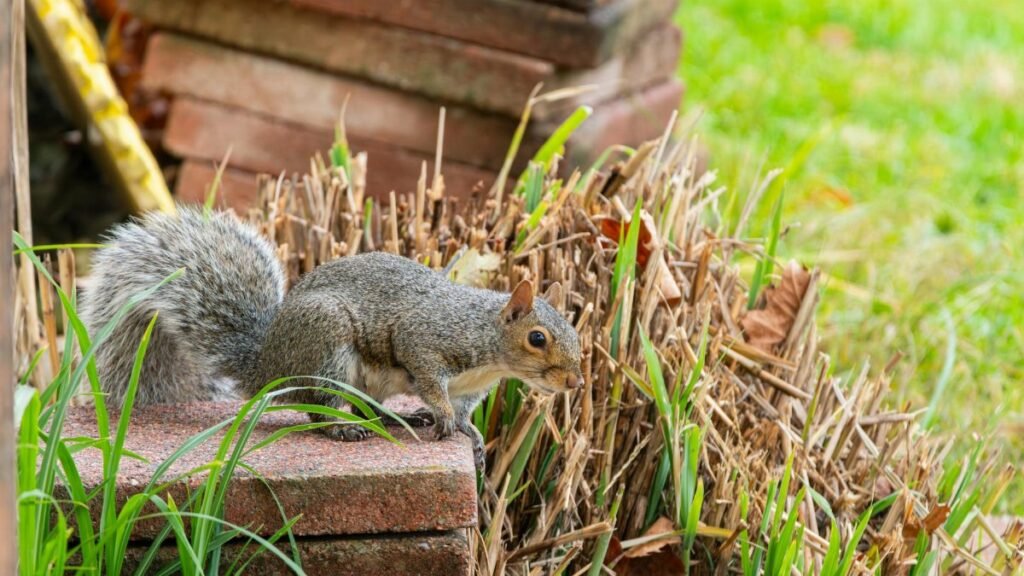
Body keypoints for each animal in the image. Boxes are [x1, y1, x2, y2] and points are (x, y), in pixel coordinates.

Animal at [80, 207, 584, 470]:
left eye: (575, 334)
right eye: (537, 338)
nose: (575, 383)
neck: (486, 338)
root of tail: (270, 366)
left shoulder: (470, 389)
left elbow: (462, 413)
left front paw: (470, 435)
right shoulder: (425, 338)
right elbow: (429, 378)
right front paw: (442, 417)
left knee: (359, 405)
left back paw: (398, 417)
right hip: (328, 347)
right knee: (319, 407)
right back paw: (344, 427)